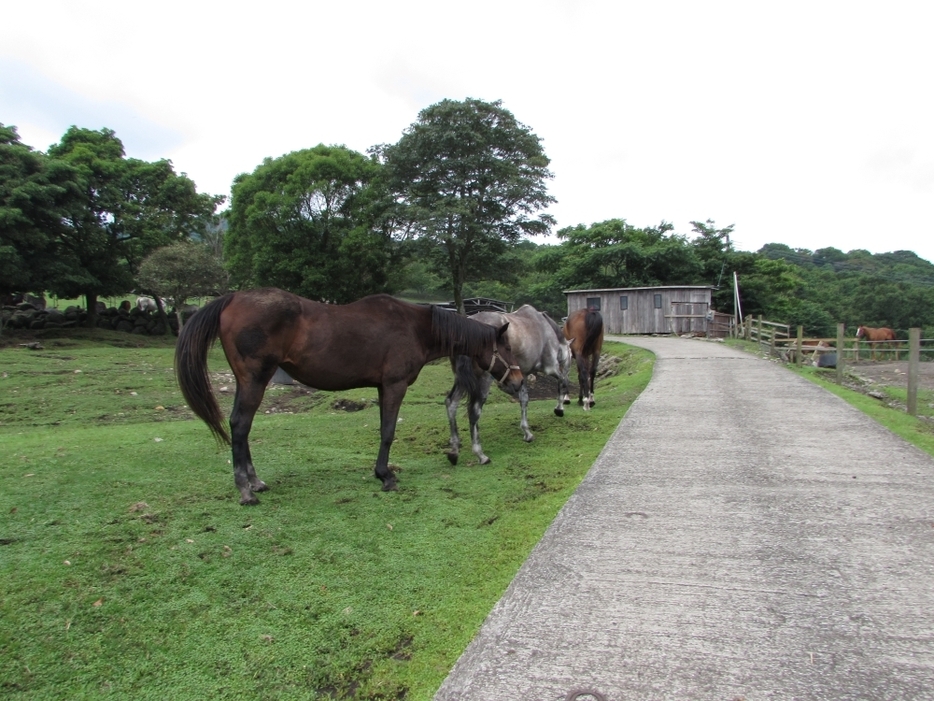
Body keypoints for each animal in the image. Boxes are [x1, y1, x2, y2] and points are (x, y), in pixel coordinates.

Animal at [176, 286, 528, 504]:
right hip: (255, 379)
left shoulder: (382, 387)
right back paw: (245, 490)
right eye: (507, 348)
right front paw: (385, 476)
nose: (518, 380)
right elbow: (388, 432)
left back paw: (255, 481)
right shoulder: (394, 385)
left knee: (242, 427)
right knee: (240, 425)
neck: (414, 327)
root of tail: (232, 299)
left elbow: (385, 429)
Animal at [444, 304, 576, 464]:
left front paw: (527, 432)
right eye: (571, 355)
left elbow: (524, 400)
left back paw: (454, 450)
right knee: (474, 411)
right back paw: (480, 454)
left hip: (462, 380)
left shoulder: (521, 376)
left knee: (451, 403)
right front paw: (559, 408)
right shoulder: (551, 368)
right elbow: (562, 382)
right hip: (484, 380)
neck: (544, 326)